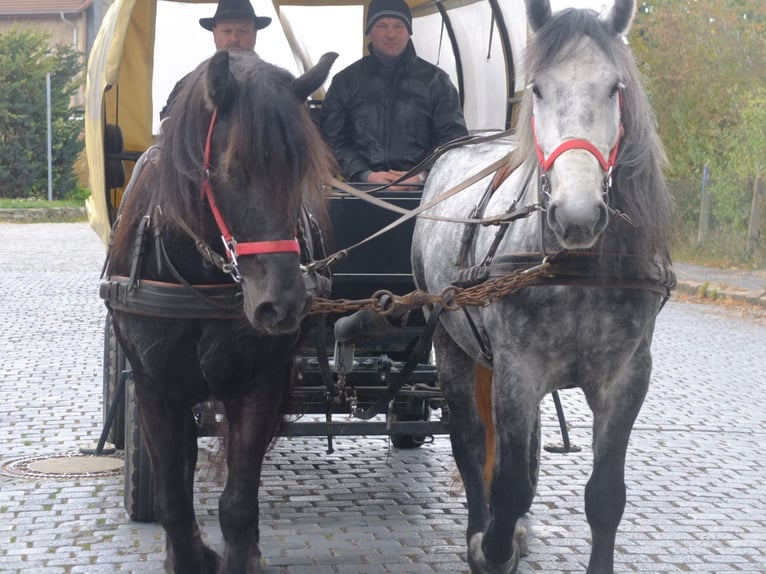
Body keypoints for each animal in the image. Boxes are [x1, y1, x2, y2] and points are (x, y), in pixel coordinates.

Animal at [102, 51, 340, 572]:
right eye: (231, 171)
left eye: (300, 171)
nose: (283, 303)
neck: (200, 275)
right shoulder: (153, 388)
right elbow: (172, 495)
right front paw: (188, 555)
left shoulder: (260, 383)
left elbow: (238, 498)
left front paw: (241, 552)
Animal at [414, 1, 680, 574]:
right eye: (536, 89)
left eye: (614, 87)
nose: (576, 214)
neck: (572, 267)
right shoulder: (520, 371)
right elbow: (510, 482)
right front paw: (491, 547)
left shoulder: (627, 378)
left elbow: (605, 497)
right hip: (448, 340)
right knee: (470, 440)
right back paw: (480, 525)